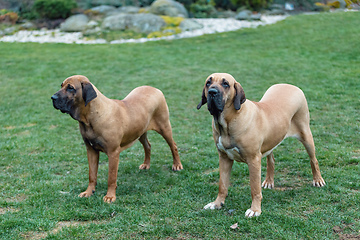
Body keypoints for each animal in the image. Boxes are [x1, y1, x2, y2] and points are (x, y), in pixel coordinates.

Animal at [51, 75, 183, 202]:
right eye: (61, 85)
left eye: (71, 88)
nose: (53, 97)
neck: (91, 117)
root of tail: (154, 88)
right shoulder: (91, 151)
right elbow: (92, 175)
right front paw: (88, 192)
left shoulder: (113, 153)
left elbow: (111, 177)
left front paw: (110, 196)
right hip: (140, 132)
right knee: (148, 146)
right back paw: (146, 164)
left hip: (164, 127)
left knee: (173, 146)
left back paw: (177, 165)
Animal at [197, 72, 326, 218]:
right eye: (208, 82)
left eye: (226, 84)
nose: (212, 92)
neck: (228, 122)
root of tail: (291, 85)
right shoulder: (224, 158)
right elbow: (222, 185)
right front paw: (217, 203)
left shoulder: (253, 160)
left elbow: (254, 188)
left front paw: (255, 209)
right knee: (271, 159)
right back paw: (269, 181)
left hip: (306, 134)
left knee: (313, 160)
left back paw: (318, 180)